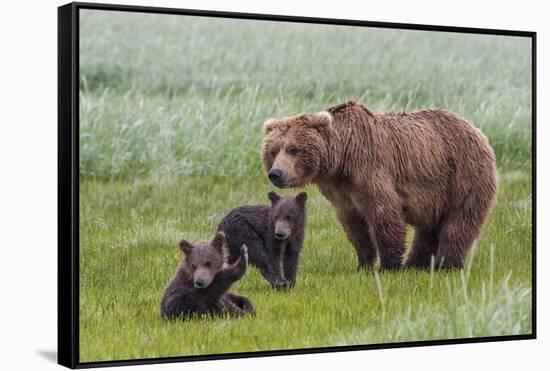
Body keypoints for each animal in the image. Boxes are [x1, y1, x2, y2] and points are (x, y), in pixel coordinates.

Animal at [264, 101, 500, 270]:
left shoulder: (370, 170)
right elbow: (354, 227)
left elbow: (384, 214)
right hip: (436, 193)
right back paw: (417, 263)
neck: (341, 161)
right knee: (429, 227)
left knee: (459, 221)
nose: (276, 173)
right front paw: (364, 263)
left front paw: (389, 265)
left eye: (293, 149)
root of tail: (477, 130)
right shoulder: (341, 192)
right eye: (273, 150)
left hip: (463, 175)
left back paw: (447, 263)